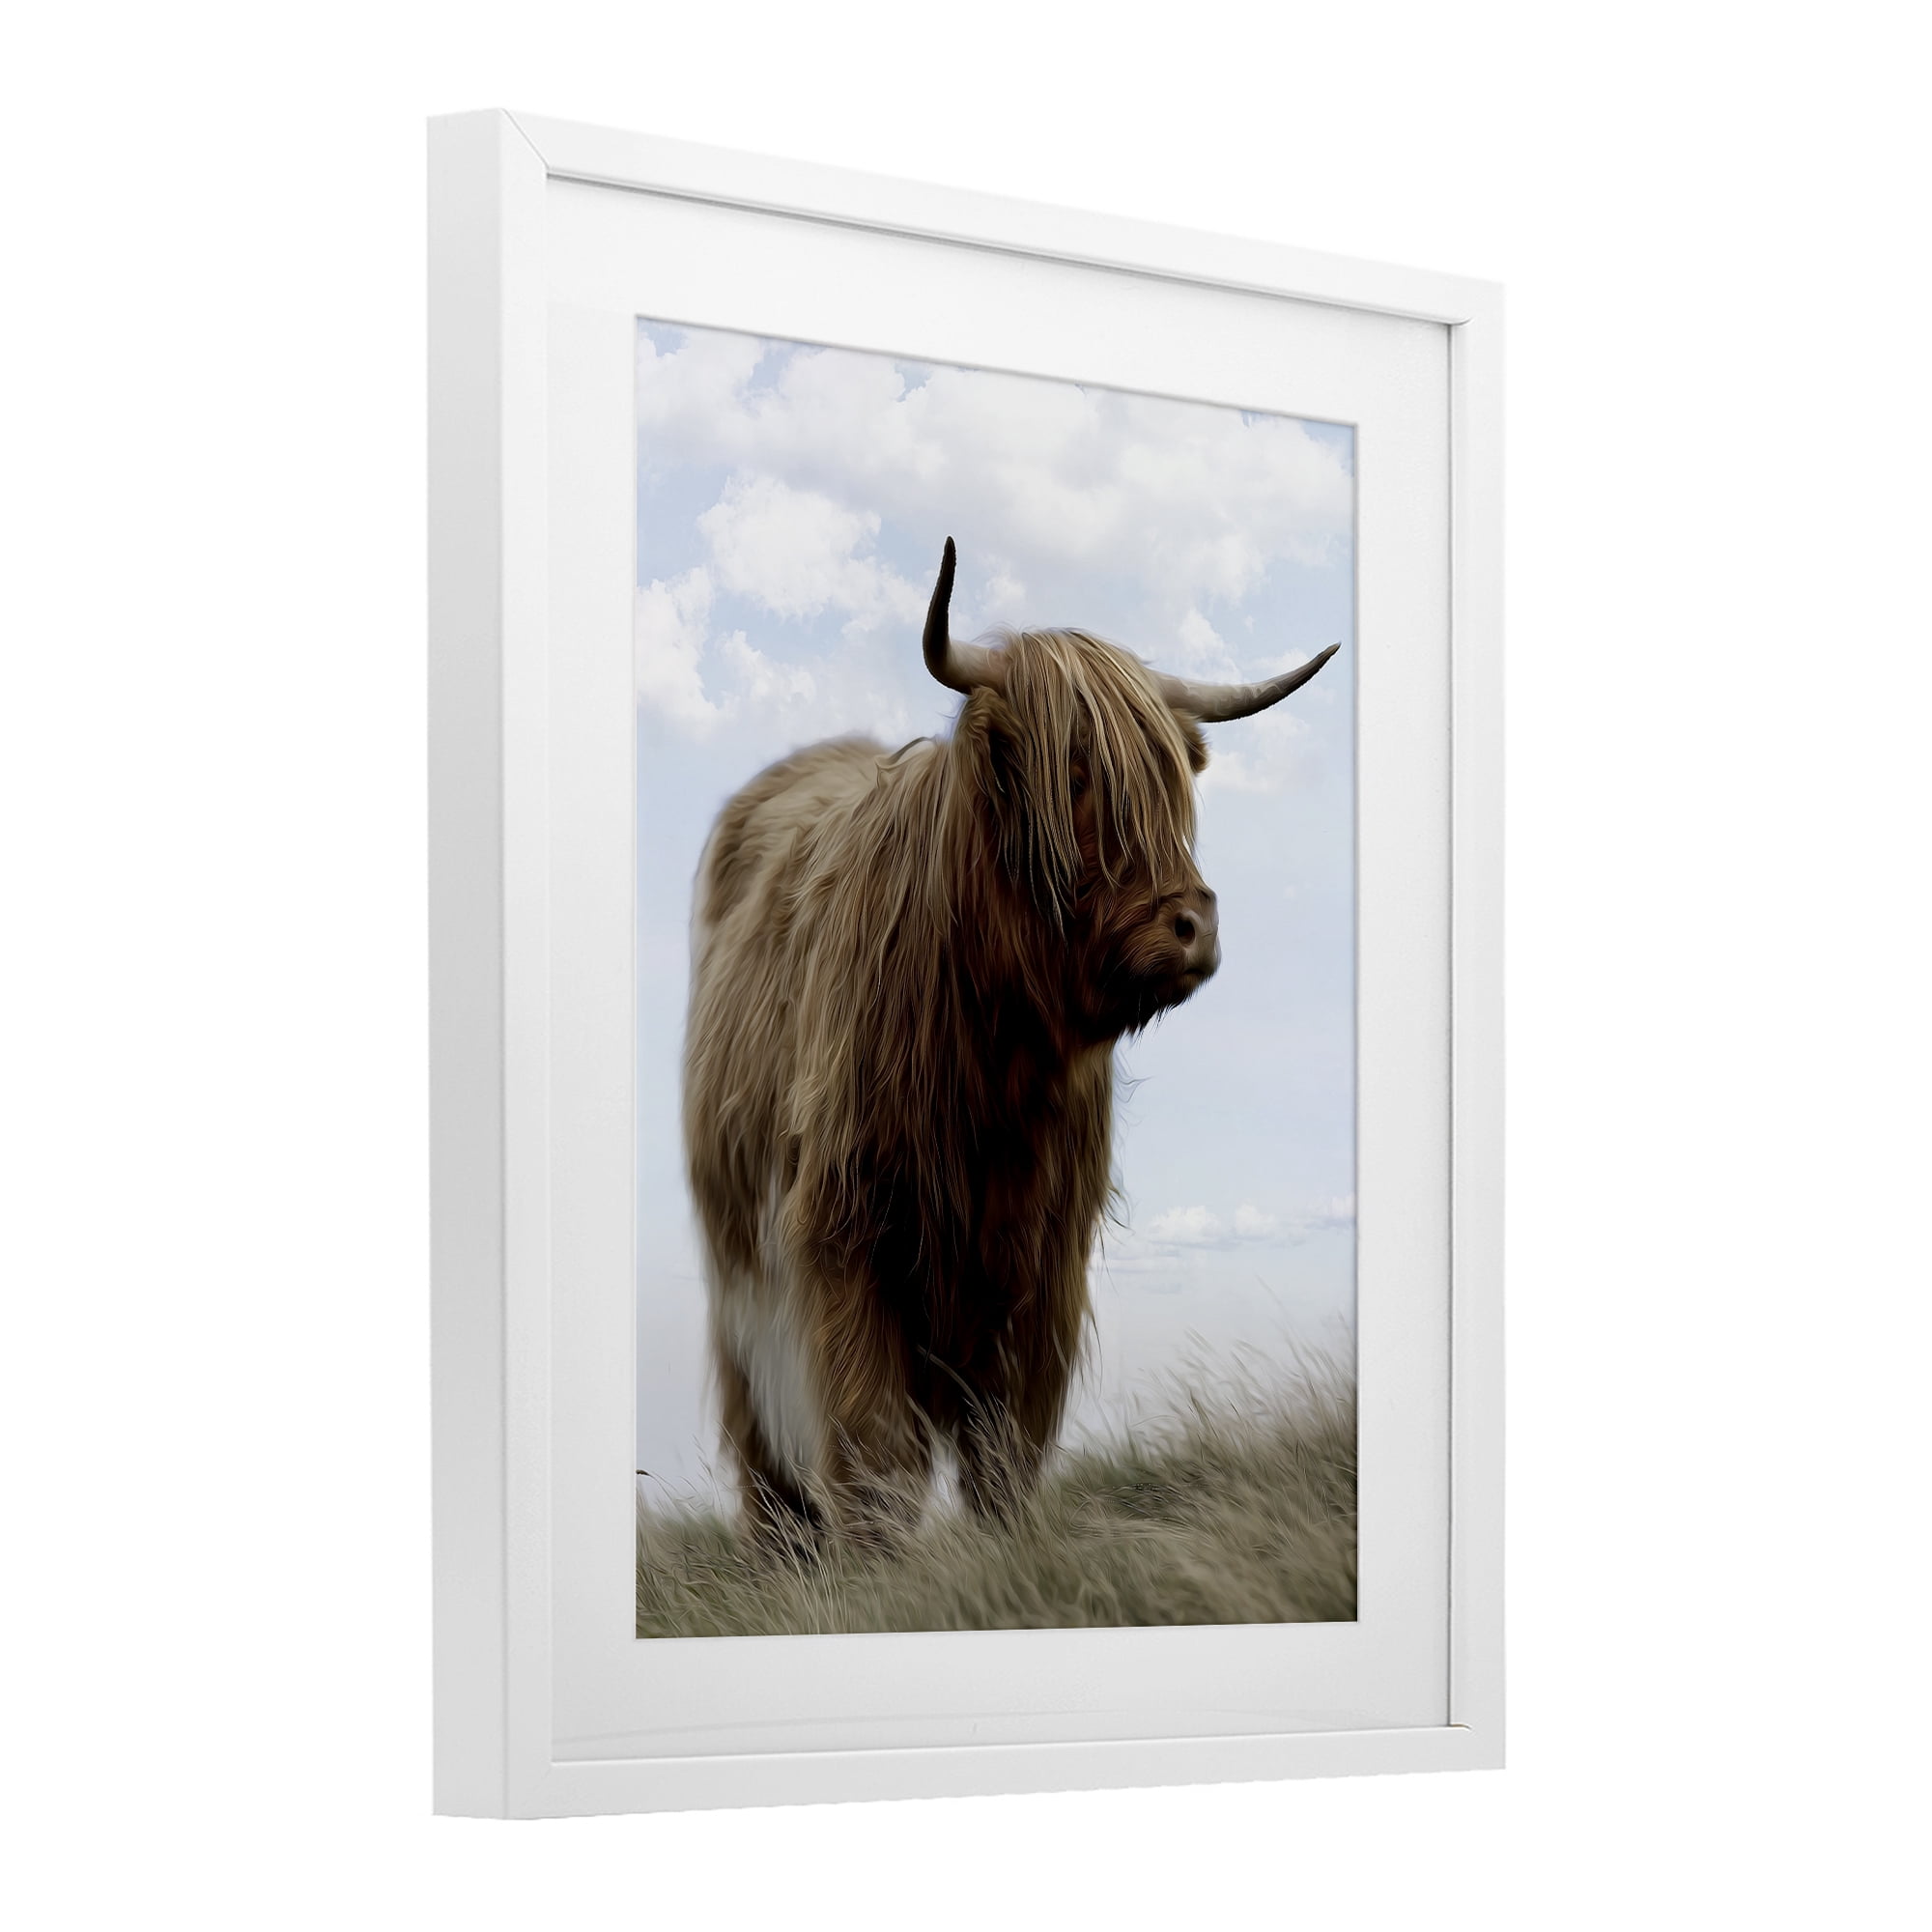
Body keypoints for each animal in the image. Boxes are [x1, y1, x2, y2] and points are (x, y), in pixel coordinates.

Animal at [683, 538, 1338, 1544]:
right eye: (1072, 774)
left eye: (1173, 782)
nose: (1194, 924)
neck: (995, 1062)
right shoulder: (844, 1230)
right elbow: (872, 1440)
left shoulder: (1043, 1260)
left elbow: (1006, 1443)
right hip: (740, 1273)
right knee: (765, 1442)